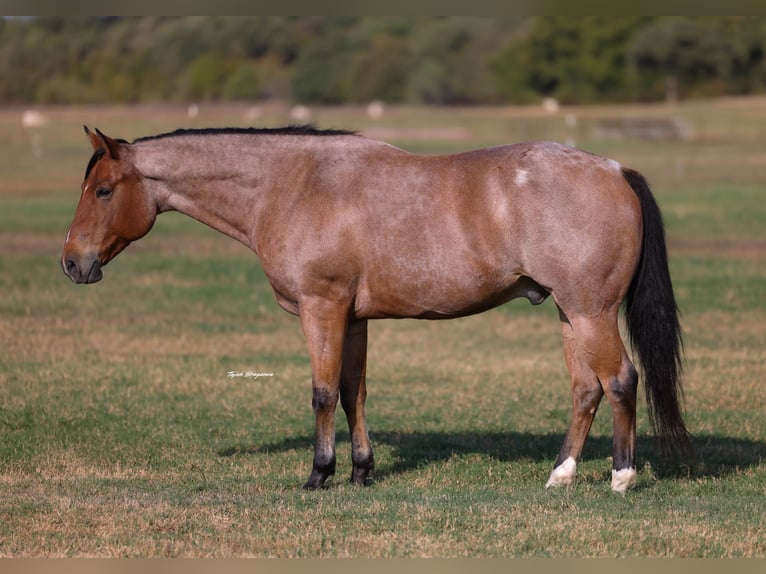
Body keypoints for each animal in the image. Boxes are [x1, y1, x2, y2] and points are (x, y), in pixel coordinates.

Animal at [62, 125, 692, 492]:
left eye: (103, 190)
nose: (72, 262)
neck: (293, 184)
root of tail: (614, 170)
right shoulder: (353, 317)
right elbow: (352, 393)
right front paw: (362, 471)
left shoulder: (321, 308)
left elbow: (321, 392)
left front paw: (319, 475)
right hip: (569, 313)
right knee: (586, 389)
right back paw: (560, 475)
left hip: (590, 311)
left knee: (621, 380)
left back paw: (621, 477)